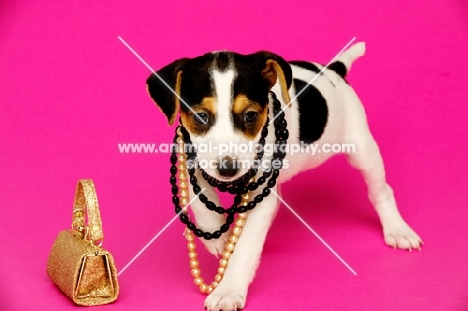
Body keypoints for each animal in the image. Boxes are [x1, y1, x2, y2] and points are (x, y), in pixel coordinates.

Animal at [144, 43, 422, 311]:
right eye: (201, 116)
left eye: (250, 115)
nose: (228, 169)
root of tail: (334, 70)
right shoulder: (194, 160)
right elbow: (201, 201)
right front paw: (218, 238)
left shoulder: (259, 194)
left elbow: (246, 247)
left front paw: (229, 290)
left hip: (362, 149)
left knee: (381, 191)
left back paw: (397, 229)